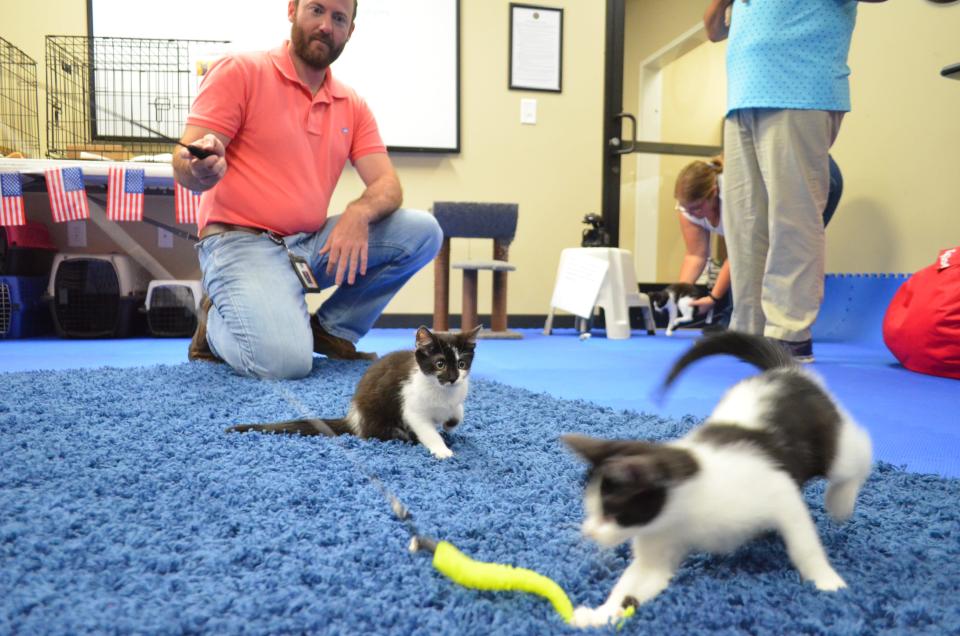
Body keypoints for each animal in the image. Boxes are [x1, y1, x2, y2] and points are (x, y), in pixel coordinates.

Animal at [226, 326, 480, 460]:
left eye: (461, 364)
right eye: (439, 364)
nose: (452, 378)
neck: (441, 391)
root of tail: (354, 417)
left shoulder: (457, 396)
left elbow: (458, 412)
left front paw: (450, 423)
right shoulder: (412, 407)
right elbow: (427, 430)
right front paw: (442, 450)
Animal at [564, 330, 872, 628]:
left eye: (611, 513)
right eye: (591, 509)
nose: (588, 532)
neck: (681, 512)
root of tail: (785, 371)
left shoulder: (779, 490)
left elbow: (804, 546)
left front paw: (827, 581)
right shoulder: (658, 541)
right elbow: (634, 584)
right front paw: (601, 614)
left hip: (834, 446)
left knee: (861, 450)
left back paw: (840, 502)